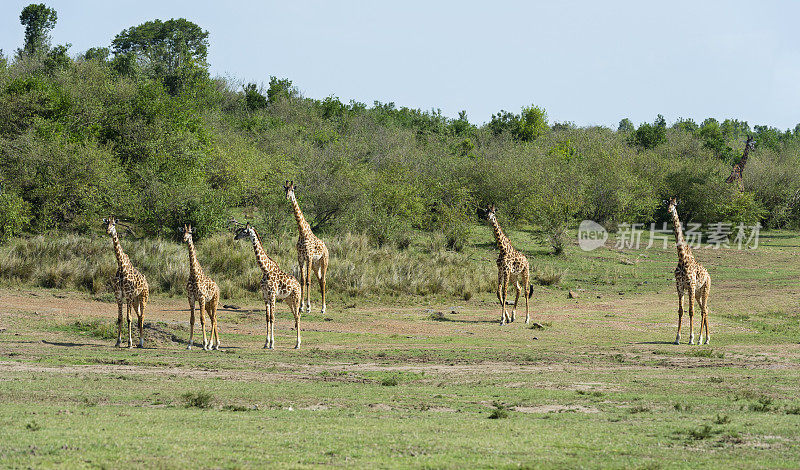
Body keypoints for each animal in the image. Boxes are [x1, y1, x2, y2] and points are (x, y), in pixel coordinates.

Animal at [104, 218, 149, 346]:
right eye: (106, 223)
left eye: (114, 224)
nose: (108, 231)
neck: (121, 266)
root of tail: (146, 281)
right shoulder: (119, 295)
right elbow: (120, 318)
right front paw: (118, 342)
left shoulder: (128, 295)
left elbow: (129, 318)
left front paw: (129, 343)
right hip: (135, 300)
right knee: (139, 316)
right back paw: (140, 342)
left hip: (143, 297)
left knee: (142, 316)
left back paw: (141, 342)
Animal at [282, 182, 330, 314]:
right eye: (285, 189)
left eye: (292, 190)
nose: (287, 197)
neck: (302, 232)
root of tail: (326, 248)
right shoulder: (300, 258)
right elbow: (303, 280)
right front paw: (301, 306)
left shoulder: (308, 257)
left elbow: (308, 281)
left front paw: (308, 307)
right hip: (315, 265)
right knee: (320, 280)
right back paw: (322, 308)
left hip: (324, 261)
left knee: (324, 280)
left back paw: (324, 308)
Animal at [668, 198, 712, 346]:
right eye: (667, 204)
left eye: (675, 204)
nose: (669, 210)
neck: (682, 257)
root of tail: (708, 275)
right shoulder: (679, 286)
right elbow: (681, 311)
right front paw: (677, 338)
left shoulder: (691, 286)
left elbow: (691, 312)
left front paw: (691, 338)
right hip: (698, 293)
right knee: (705, 309)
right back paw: (706, 339)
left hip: (705, 289)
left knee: (703, 310)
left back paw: (700, 339)